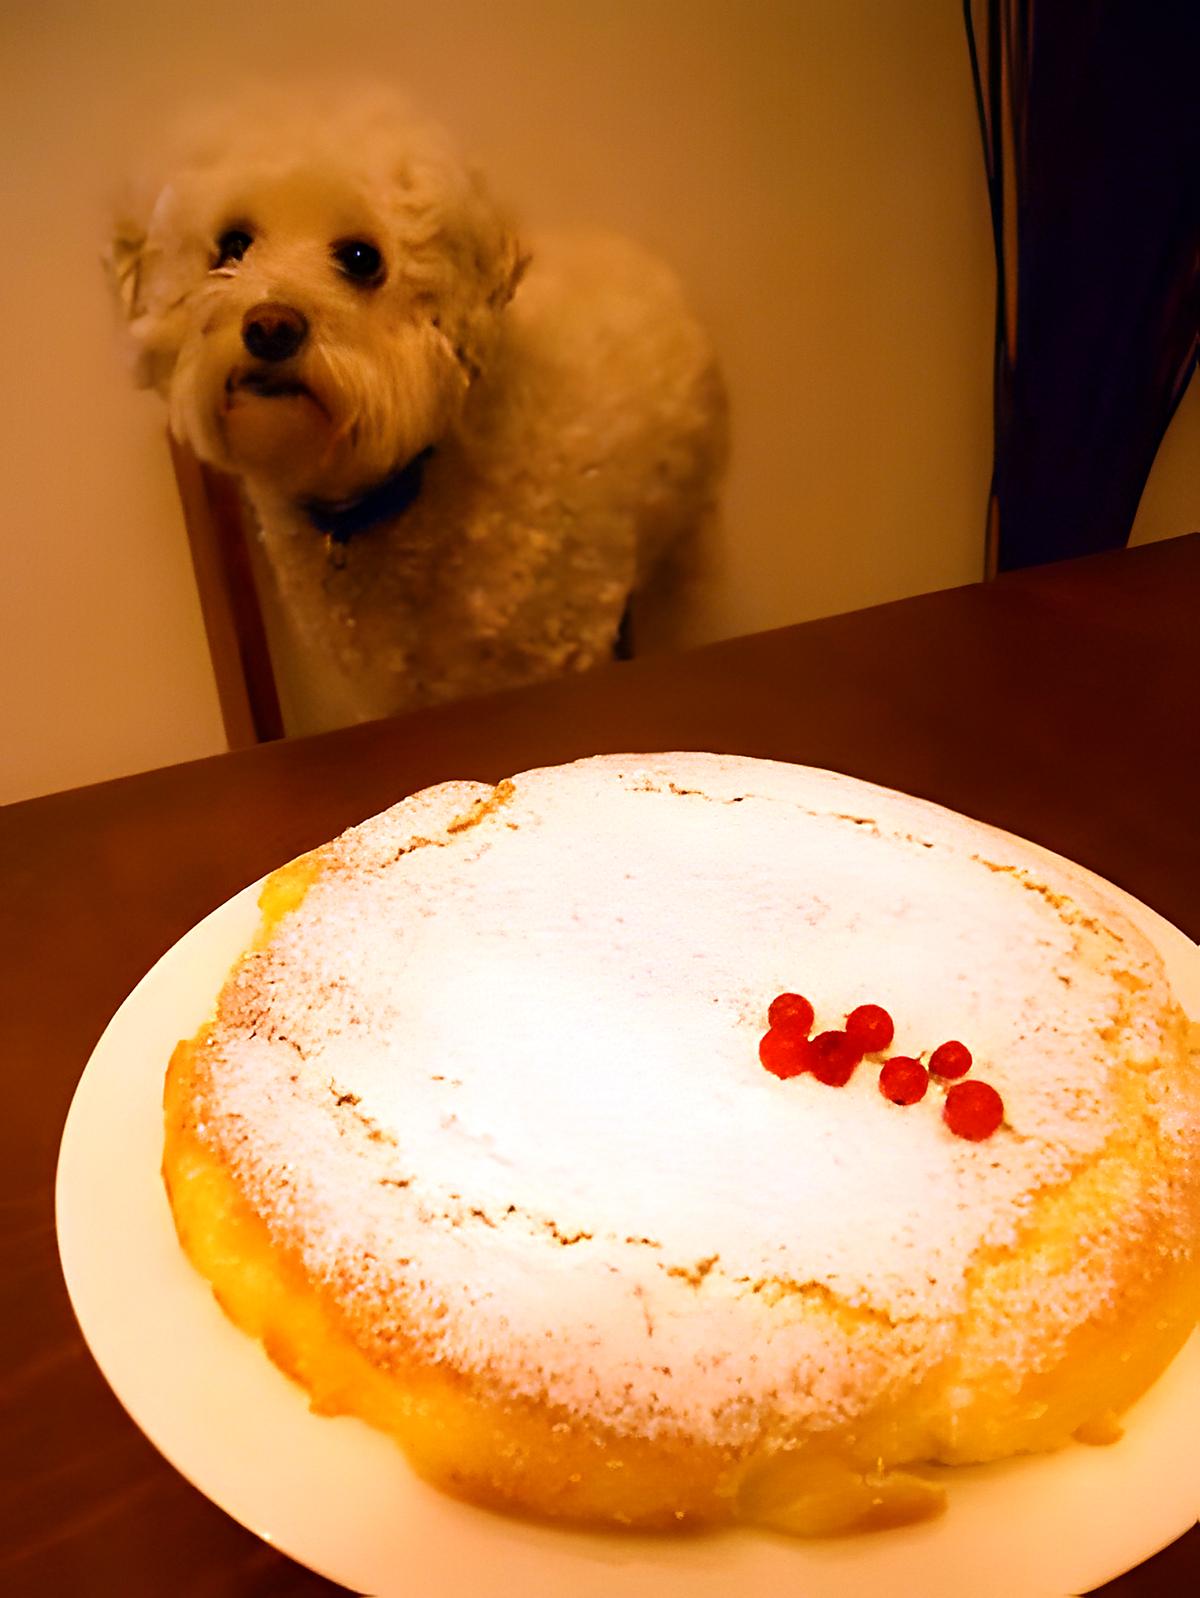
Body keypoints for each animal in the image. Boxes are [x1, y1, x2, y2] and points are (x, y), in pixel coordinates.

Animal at [112, 90, 728, 728]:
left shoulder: (559, 643)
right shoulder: (390, 687)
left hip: (684, 552)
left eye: (362, 258)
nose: (270, 327)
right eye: (232, 246)